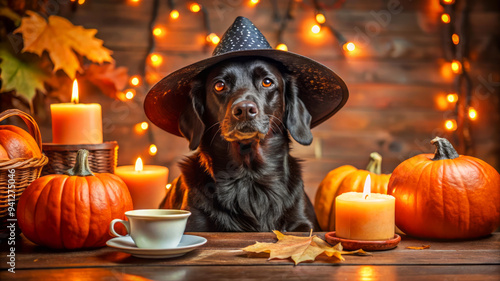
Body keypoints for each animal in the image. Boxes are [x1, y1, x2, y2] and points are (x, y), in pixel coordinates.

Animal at [160, 57, 320, 232]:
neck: (249, 176)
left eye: (267, 82)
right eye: (220, 85)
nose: (244, 110)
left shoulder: (303, 224)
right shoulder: (194, 224)